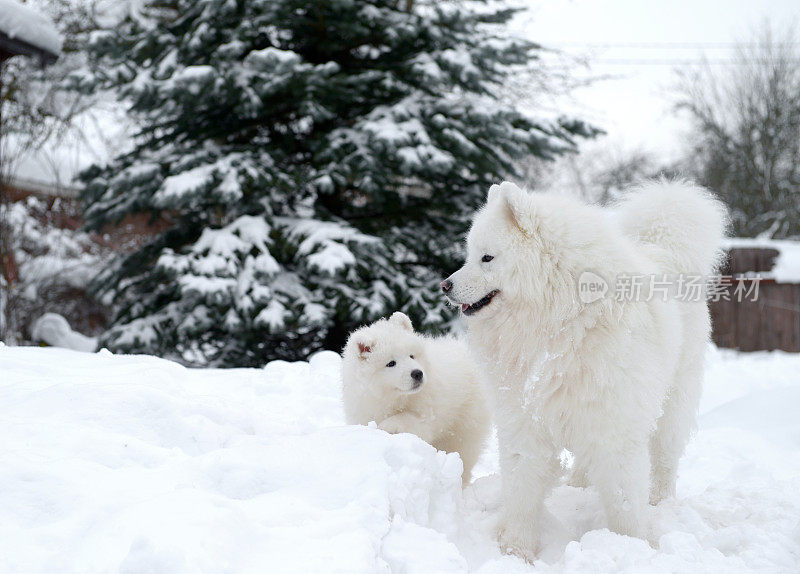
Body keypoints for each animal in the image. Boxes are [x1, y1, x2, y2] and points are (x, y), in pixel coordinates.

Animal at [340, 312, 490, 484]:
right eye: (391, 363)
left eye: (411, 356)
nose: (418, 373)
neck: (394, 398)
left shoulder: (427, 409)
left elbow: (411, 420)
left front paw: (388, 425)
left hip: (464, 422)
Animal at [440, 180, 728, 560]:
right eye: (469, 255)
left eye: (487, 258)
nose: (444, 285)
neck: (558, 323)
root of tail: (662, 248)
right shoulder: (524, 422)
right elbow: (521, 492)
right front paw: (516, 550)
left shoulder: (615, 428)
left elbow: (624, 501)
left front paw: (633, 546)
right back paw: (577, 485)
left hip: (672, 404)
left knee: (665, 459)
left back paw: (660, 503)